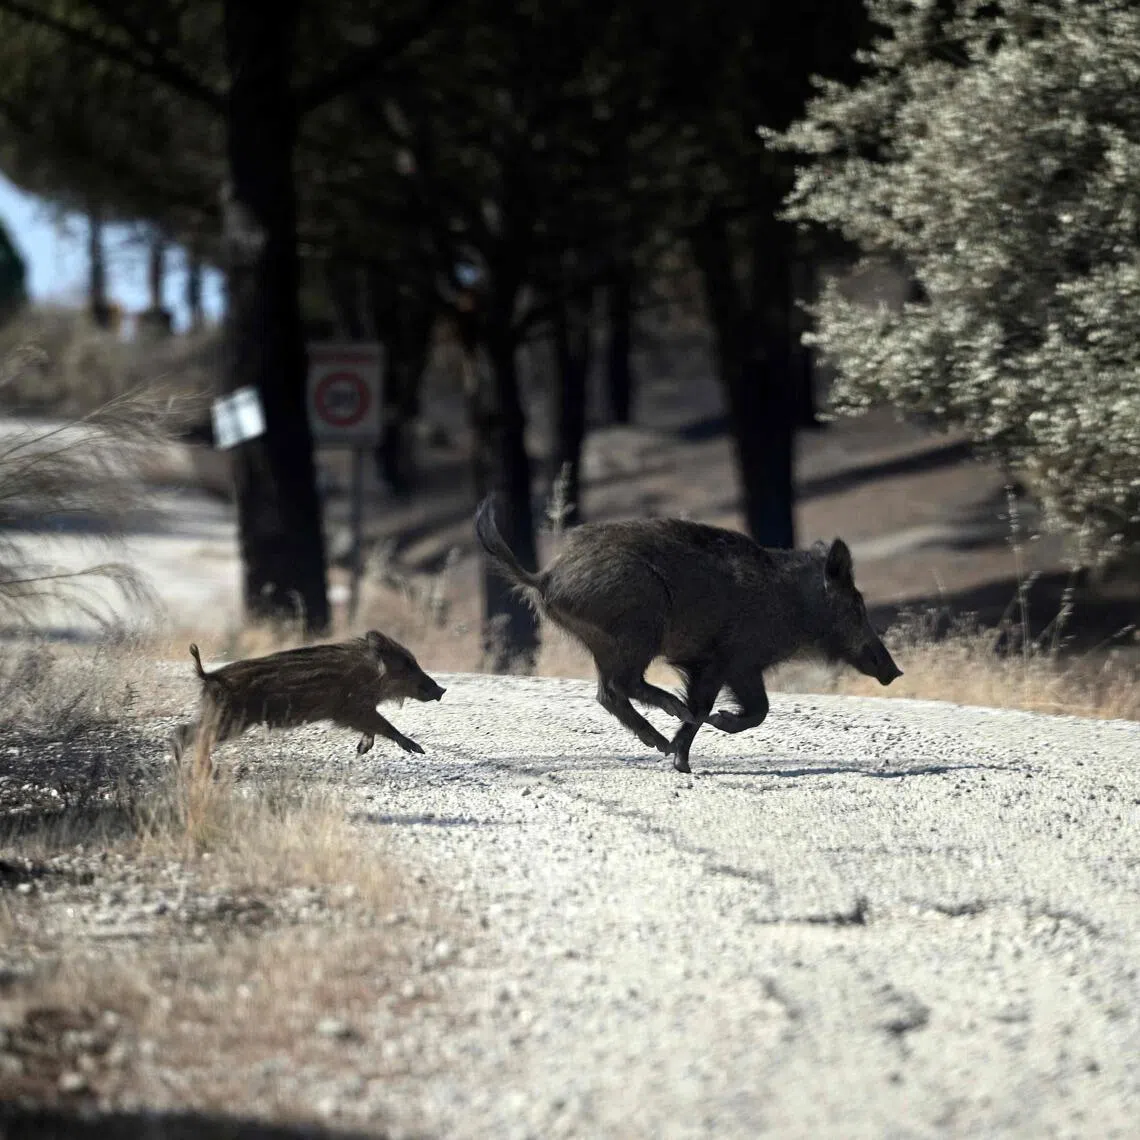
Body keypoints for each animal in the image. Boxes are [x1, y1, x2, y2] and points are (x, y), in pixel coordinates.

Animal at [171, 630, 446, 763]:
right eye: (407, 665)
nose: (441, 690)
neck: (371, 674)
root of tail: (209, 676)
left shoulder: (358, 711)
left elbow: (375, 728)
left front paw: (360, 751)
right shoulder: (350, 709)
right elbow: (385, 726)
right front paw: (417, 750)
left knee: (185, 732)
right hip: (229, 720)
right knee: (190, 735)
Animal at [475, 495, 902, 772]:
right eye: (855, 606)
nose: (894, 671)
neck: (793, 605)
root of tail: (545, 577)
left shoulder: (736, 666)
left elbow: (753, 709)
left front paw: (682, 756)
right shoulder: (723, 659)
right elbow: (723, 709)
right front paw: (688, 754)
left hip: (604, 641)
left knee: (607, 692)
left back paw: (659, 742)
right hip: (639, 626)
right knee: (622, 685)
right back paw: (669, 721)